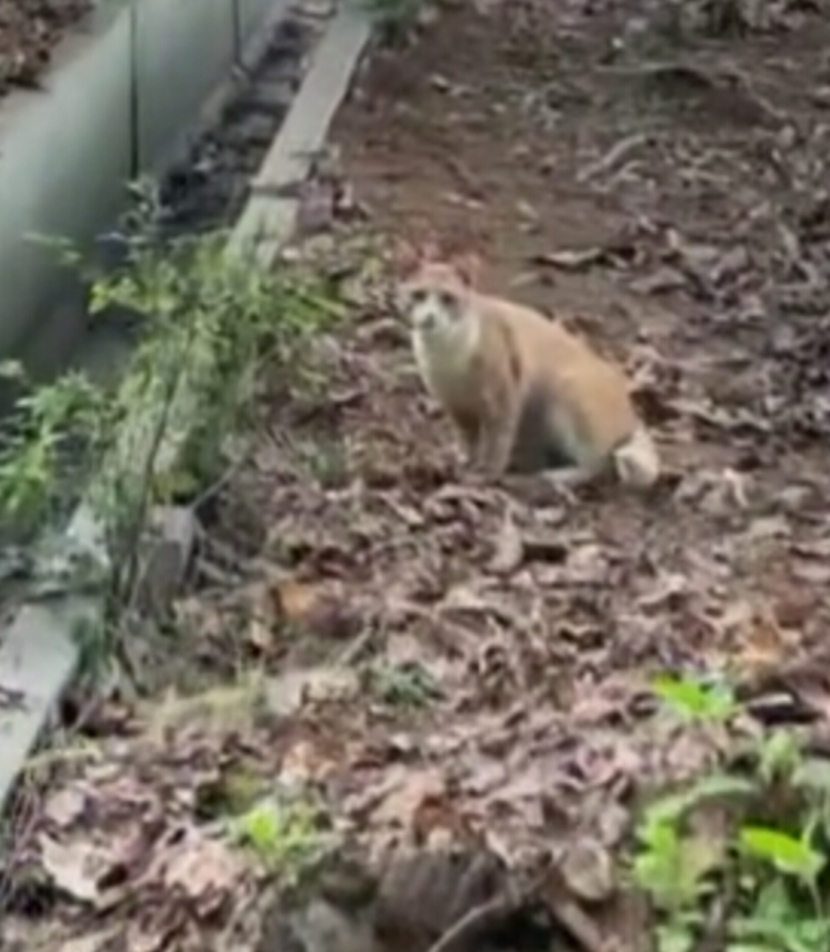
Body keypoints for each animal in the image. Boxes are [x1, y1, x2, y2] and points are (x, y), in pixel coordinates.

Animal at [397, 249, 660, 491]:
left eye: (448, 298)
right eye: (418, 295)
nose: (429, 319)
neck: (448, 358)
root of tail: (631, 416)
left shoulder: (504, 397)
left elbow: (497, 442)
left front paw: (486, 474)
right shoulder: (456, 406)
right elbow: (469, 440)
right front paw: (465, 461)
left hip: (570, 396)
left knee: (595, 465)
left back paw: (554, 476)